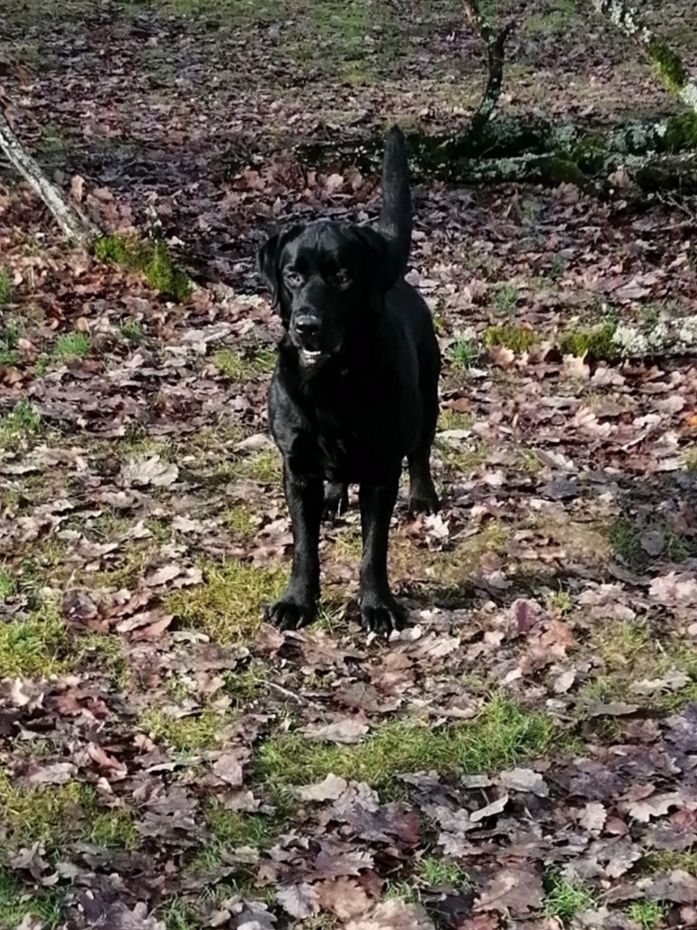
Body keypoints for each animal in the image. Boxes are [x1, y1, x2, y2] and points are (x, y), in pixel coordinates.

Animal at [256, 125, 440, 632]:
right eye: (292, 275)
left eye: (341, 276)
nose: (306, 325)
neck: (332, 381)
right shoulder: (297, 468)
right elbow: (304, 546)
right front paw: (297, 601)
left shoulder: (381, 469)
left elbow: (373, 549)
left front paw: (377, 604)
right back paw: (336, 496)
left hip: (428, 398)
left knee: (421, 450)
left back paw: (424, 495)